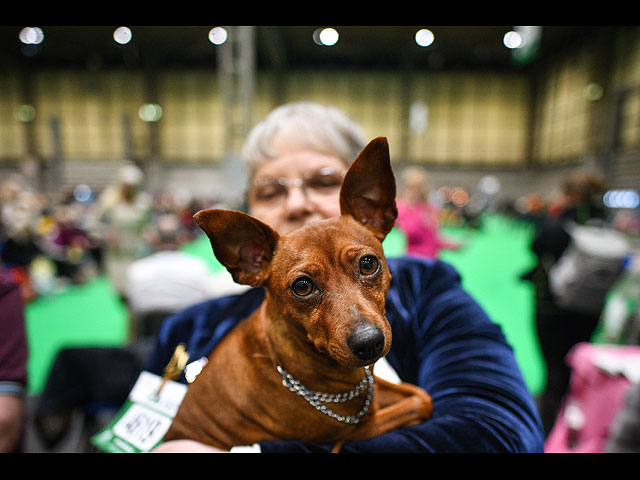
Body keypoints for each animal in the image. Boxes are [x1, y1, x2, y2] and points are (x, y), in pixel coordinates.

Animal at [165, 138, 432, 450]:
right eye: (302, 286)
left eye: (368, 264)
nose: (369, 343)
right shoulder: (358, 429)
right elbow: (420, 402)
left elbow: (419, 394)